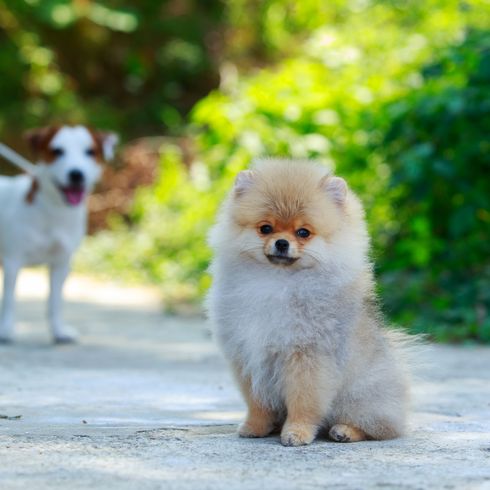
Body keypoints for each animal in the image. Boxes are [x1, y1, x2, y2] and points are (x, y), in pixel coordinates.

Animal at [0, 124, 117, 342]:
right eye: (57, 151)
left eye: (90, 152)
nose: (76, 174)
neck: (54, 211)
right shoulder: (13, 261)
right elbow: (9, 299)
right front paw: (5, 330)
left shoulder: (61, 264)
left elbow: (54, 302)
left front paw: (58, 331)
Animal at [207, 159, 410, 446]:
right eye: (266, 228)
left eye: (303, 232)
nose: (282, 242)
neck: (277, 281)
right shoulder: (248, 353)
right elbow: (257, 401)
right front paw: (255, 426)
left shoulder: (308, 356)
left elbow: (303, 401)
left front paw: (297, 433)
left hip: (362, 395)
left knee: (380, 428)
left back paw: (345, 431)